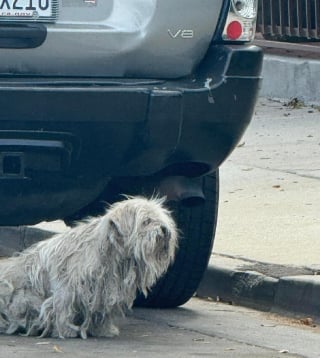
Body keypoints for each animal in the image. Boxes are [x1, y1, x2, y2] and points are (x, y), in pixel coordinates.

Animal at [0, 196, 178, 338]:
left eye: (162, 219)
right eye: (146, 221)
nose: (165, 230)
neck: (110, 250)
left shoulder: (104, 290)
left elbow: (101, 311)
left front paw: (103, 330)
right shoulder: (67, 288)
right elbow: (63, 308)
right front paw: (65, 331)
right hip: (23, 298)